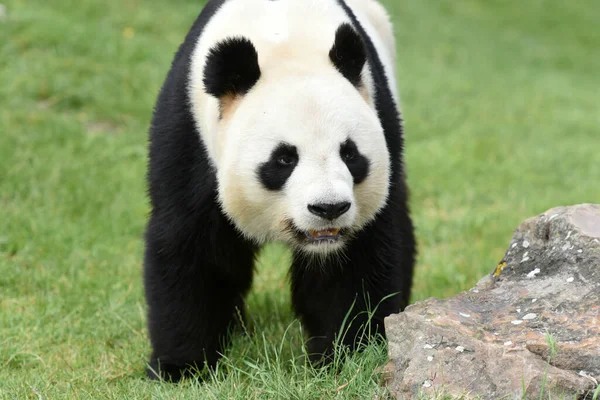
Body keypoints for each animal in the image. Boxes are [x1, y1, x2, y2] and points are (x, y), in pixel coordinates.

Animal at [144, 0, 418, 382]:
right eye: (285, 159)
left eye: (350, 153)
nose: (329, 208)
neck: (283, 33)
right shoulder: (189, 136)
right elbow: (192, 246)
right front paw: (182, 367)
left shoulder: (381, 121)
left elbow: (357, 263)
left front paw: (347, 356)